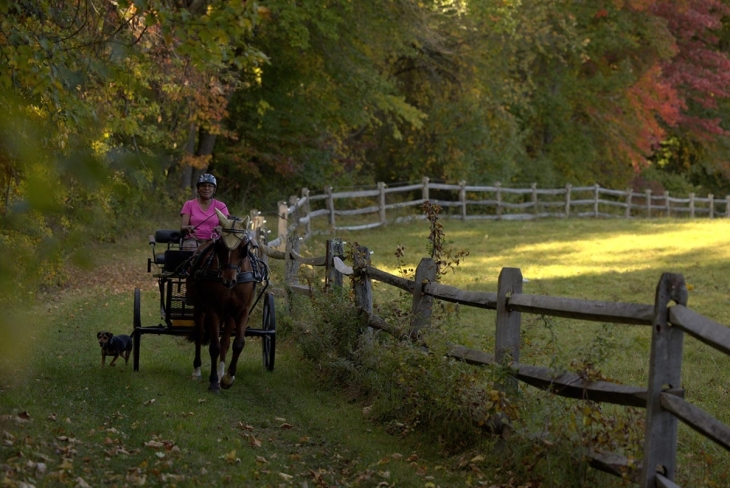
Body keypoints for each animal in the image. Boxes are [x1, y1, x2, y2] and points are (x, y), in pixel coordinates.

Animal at [185, 209, 256, 392]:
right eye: (220, 246)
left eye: (243, 247)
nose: (227, 280)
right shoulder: (213, 309)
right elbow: (214, 346)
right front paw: (213, 382)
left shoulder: (242, 310)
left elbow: (237, 344)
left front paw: (227, 378)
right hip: (199, 307)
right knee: (200, 333)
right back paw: (197, 371)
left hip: (229, 314)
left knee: (225, 340)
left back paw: (221, 370)